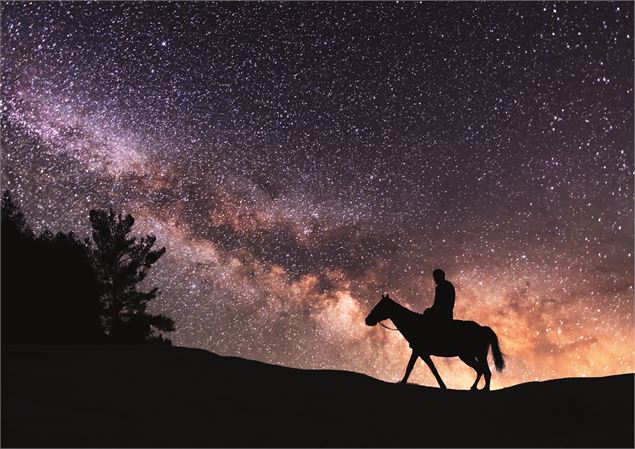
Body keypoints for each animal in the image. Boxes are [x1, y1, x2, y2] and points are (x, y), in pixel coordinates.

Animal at [362, 294, 506, 388]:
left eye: (380, 306)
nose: (367, 320)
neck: (414, 324)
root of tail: (483, 328)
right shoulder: (420, 352)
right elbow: (426, 368)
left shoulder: (420, 351)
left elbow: (416, 368)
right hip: (471, 355)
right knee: (482, 370)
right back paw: (475, 388)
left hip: (471, 355)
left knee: (484, 371)